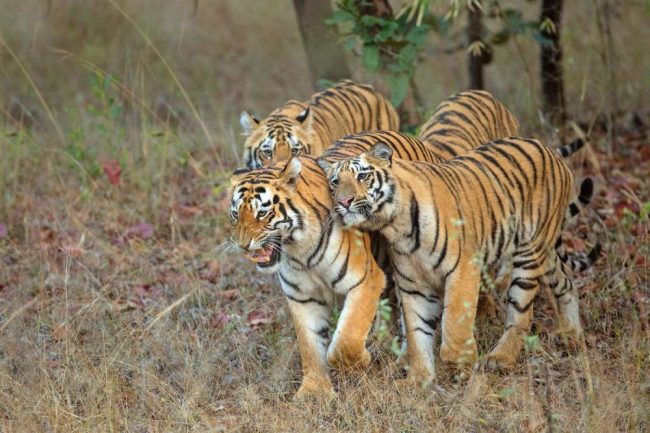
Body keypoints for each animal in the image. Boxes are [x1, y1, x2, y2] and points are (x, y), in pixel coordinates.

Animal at [317, 136, 598, 385]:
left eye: (362, 176)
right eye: (334, 182)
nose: (343, 202)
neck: (395, 225)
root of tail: (550, 150)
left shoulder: (462, 269)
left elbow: (454, 323)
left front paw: (461, 363)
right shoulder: (413, 285)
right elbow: (417, 333)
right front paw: (418, 380)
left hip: (529, 256)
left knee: (520, 315)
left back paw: (501, 357)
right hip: (545, 251)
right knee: (566, 283)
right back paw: (572, 333)